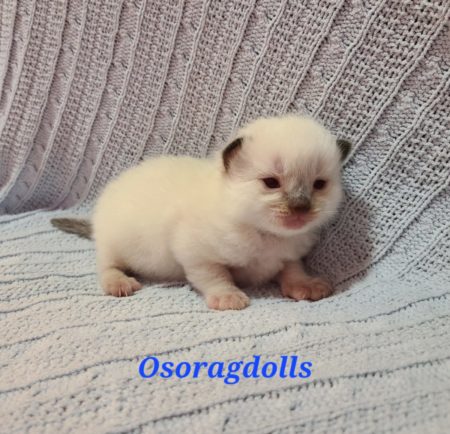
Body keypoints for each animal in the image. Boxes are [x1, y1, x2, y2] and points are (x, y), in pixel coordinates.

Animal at [51, 115, 348, 310]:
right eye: (271, 183)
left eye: (319, 184)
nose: (301, 207)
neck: (262, 232)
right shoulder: (196, 254)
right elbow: (216, 276)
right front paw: (228, 297)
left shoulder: (289, 255)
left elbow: (293, 270)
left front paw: (306, 285)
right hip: (114, 242)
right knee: (106, 265)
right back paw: (118, 282)